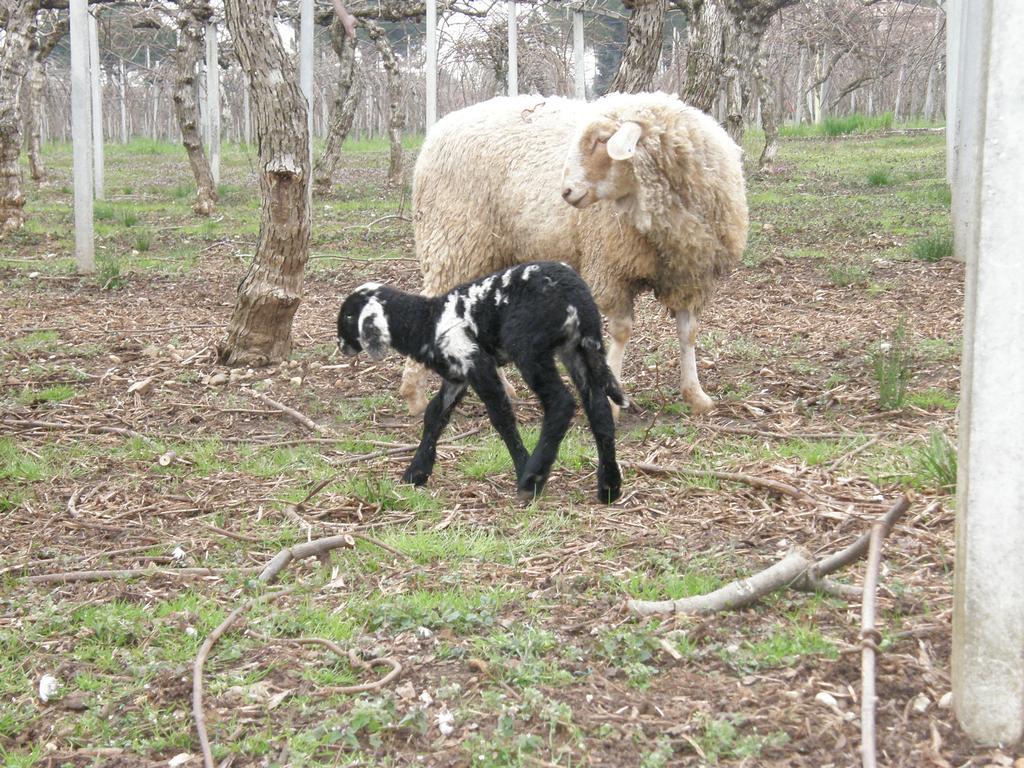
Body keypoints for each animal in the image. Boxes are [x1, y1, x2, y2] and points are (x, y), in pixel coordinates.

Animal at [335, 264, 622, 505]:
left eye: (348, 316)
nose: (340, 345)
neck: (427, 322)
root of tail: (575, 295)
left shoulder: (476, 362)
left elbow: (501, 417)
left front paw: (522, 466)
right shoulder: (458, 375)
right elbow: (435, 415)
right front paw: (416, 472)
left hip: (527, 346)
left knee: (561, 403)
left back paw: (532, 479)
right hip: (578, 348)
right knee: (599, 407)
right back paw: (609, 487)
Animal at [401, 93, 753, 423]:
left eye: (601, 140)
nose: (566, 191)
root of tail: (439, 130)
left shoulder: (690, 274)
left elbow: (688, 333)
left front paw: (696, 395)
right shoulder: (611, 267)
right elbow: (621, 332)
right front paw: (612, 402)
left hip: (490, 252)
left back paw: (501, 387)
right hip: (453, 242)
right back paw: (413, 395)